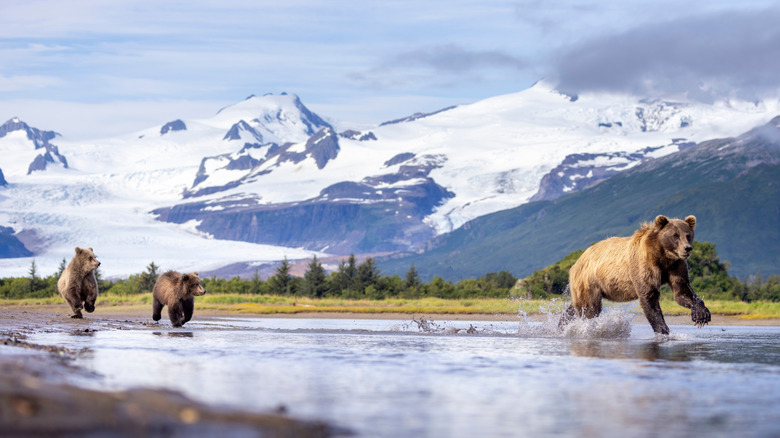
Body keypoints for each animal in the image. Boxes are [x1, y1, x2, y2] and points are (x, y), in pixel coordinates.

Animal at [559, 215, 711, 334]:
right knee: (590, 308)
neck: (663, 256)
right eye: (675, 235)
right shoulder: (645, 264)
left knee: (576, 306)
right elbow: (649, 298)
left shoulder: (676, 266)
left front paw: (701, 315)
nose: (687, 248)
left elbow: (682, 291)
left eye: (688, 235)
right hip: (589, 280)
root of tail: (577, 261)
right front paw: (663, 330)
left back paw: (562, 324)